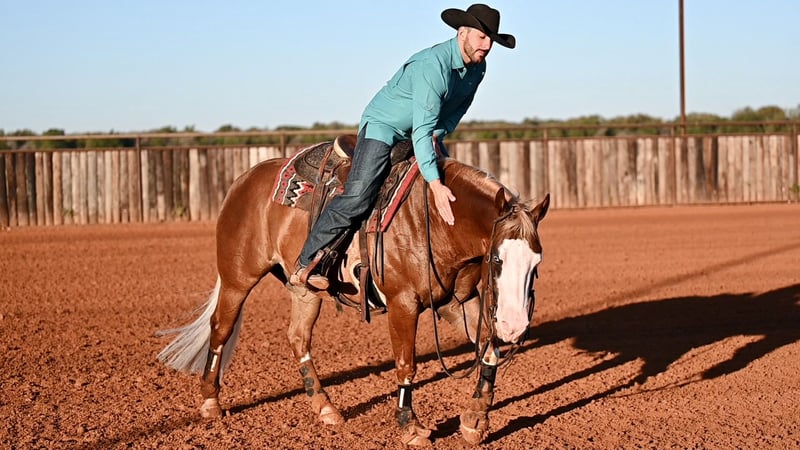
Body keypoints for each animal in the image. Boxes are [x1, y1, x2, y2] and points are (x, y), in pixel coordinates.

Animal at [157, 139, 550, 445]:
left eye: (537, 262)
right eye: (497, 258)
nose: (515, 326)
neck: (436, 221)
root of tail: (242, 181)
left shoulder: (455, 302)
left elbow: (489, 351)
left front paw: (475, 419)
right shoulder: (403, 303)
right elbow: (406, 364)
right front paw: (410, 426)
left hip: (303, 290)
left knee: (298, 338)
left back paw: (326, 408)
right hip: (238, 278)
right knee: (220, 328)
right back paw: (210, 403)